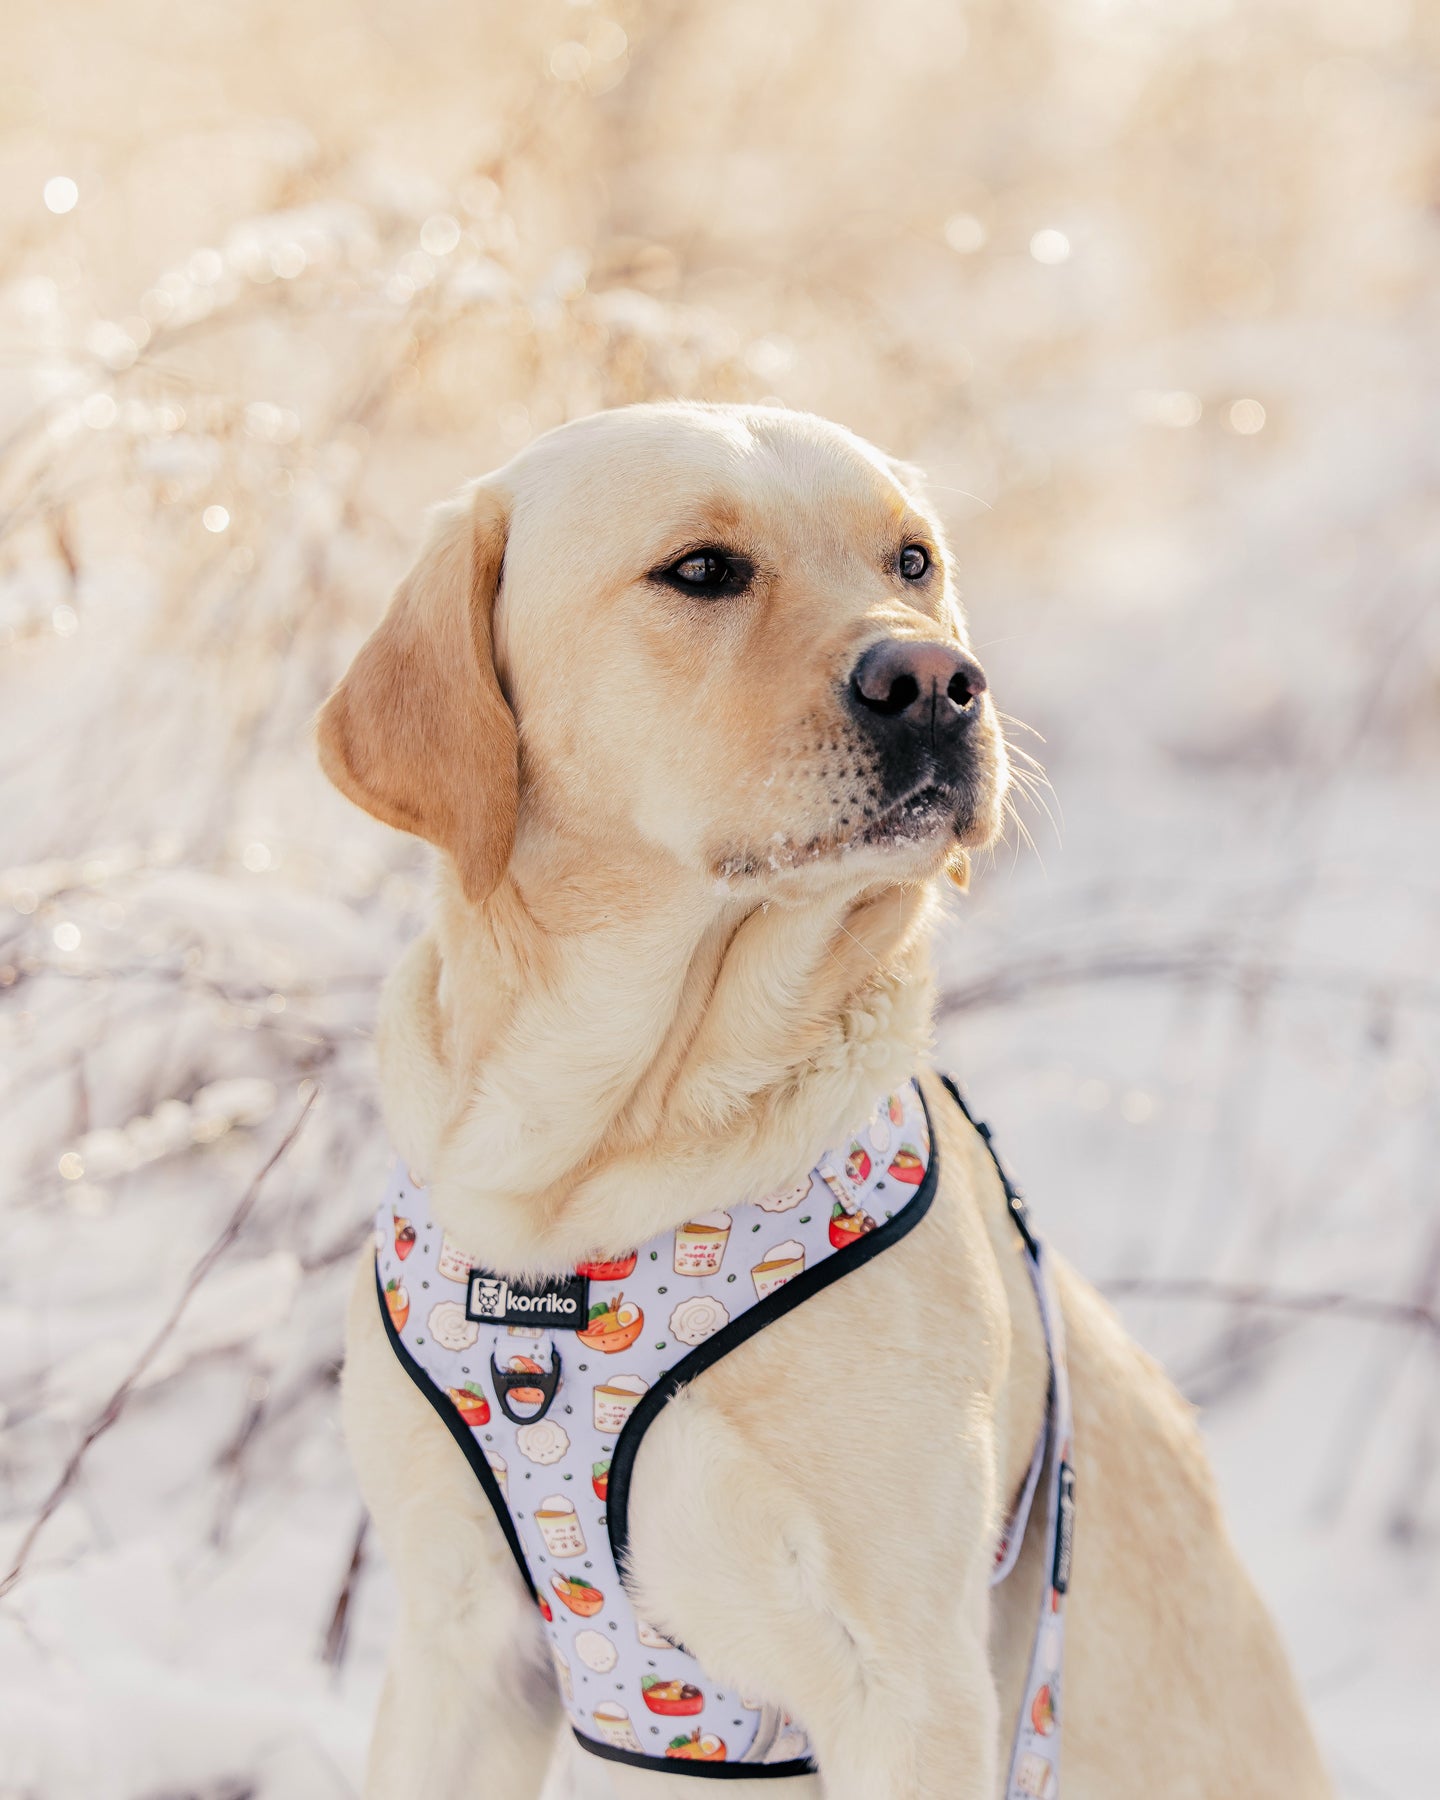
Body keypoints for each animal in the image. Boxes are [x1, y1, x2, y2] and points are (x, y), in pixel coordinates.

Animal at [320, 408, 1332, 1800]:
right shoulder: (459, 1643)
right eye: (700, 570)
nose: (939, 681)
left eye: (912, 560)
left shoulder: (905, 1683)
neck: (592, 1162)